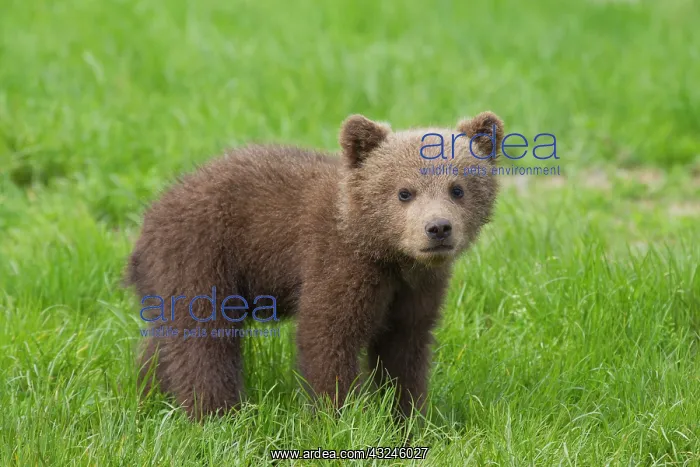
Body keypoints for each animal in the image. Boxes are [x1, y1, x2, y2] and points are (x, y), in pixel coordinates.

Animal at [126, 111, 504, 420]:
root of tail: (149, 219)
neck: (386, 253)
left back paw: (151, 396)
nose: (438, 228)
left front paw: (408, 418)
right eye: (404, 192)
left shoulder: (416, 288)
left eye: (457, 188)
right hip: (200, 256)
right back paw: (216, 414)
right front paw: (338, 416)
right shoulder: (337, 263)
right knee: (202, 340)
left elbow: (404, 351)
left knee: (163, 343)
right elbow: (327, 336)